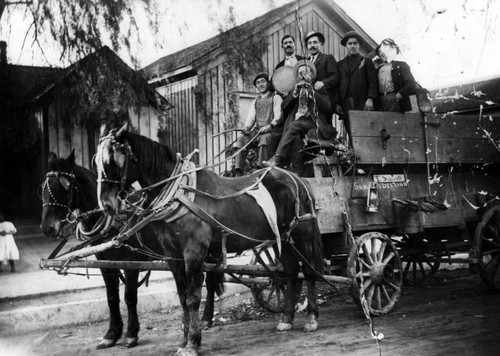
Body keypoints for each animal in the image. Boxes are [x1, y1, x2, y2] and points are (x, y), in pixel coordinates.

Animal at [41, 149, 165, 348]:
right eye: (42, 188)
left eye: (65, 187)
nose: (47, 228)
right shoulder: (105, 262)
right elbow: (112, 297)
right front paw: (112, 334)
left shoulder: (131, 262)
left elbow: (130, 296)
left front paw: (131, 333)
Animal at [96, 124, 326, 356]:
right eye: (96, 161)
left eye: (114, 159)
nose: (106, 205)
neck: (180, 193)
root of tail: (297, 179)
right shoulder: (173, 256)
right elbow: (182, 297)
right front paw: (184, 340)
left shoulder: (194, 252)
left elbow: (193, 297)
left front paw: (192, 343)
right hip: (283, 238)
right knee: (290, 272)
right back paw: (286, 318)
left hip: (302, 234)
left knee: (308, 272)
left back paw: (311, 318)